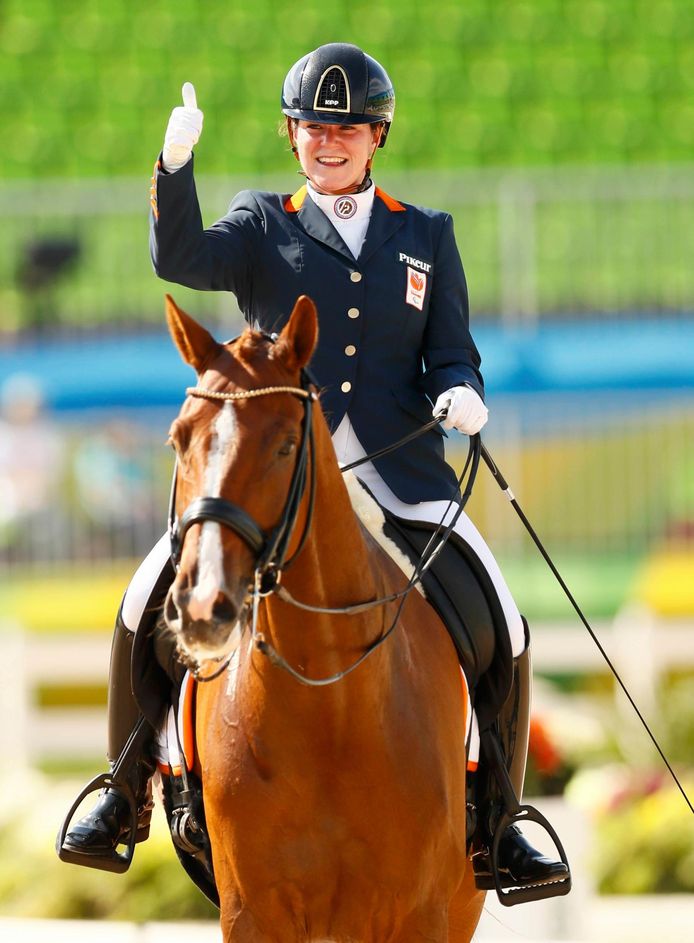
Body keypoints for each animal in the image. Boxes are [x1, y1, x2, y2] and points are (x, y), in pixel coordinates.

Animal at [165, 292, 486, 940]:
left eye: (286, 445)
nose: (203, 606)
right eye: (179, 440)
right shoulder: (253, 913)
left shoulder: (419, 913)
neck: (325, 697)